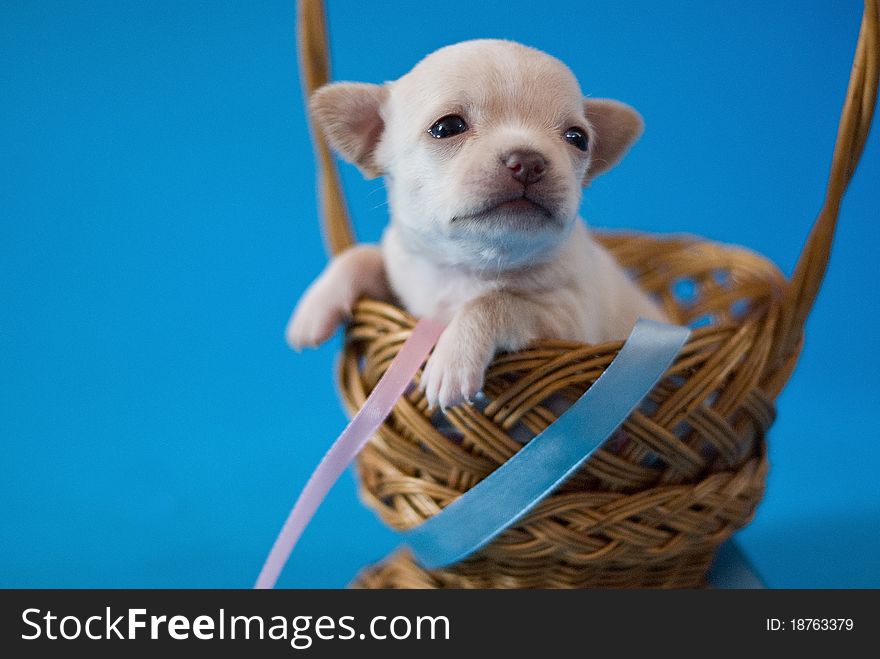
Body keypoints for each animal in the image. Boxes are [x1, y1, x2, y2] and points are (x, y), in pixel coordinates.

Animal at [288, 38, 668, 410]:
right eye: (447, 127)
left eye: (578, 138)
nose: (528, 160)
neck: (469, 268)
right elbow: (365, 254)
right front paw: (317, 304)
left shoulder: (571, 325)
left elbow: (494, 302)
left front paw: (453, 359)